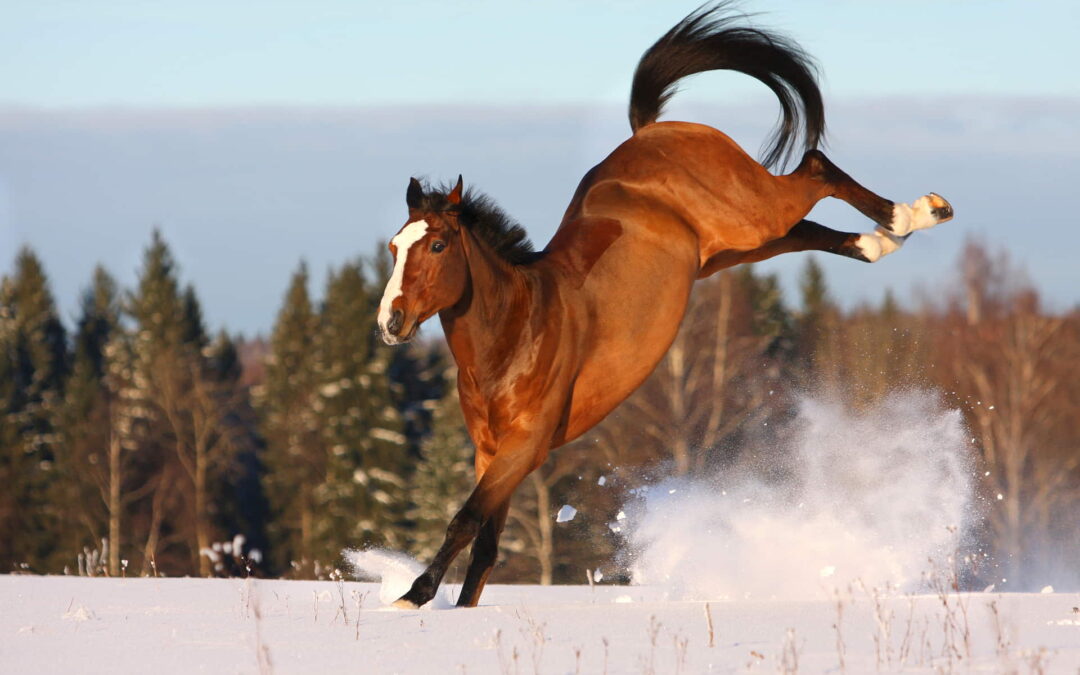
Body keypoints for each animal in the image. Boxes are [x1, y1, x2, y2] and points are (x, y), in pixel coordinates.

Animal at [376, 5, 952, 608]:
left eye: (437, 246)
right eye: (394, 246)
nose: (390, 322)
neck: (517, 334)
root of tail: (655, 130)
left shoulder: (524, 446)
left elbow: (465, 521)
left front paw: (412, 596)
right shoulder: (491, 452)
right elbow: (485, 545)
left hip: (753, 214)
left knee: (815, 169)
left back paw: (919, 212)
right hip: (732, 248)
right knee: (810, 228)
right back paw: (885, 239)